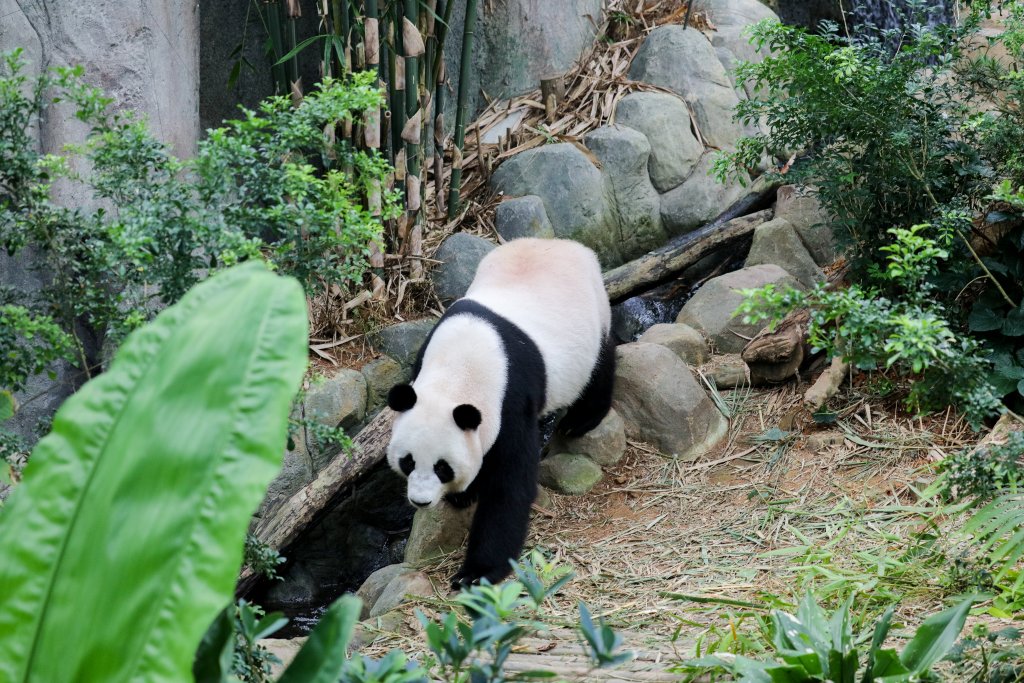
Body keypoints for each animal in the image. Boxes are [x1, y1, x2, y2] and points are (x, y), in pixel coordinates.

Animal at [386, 237, 615, 588]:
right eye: (408, 461)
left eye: (442, 468)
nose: (421, 501)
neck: (458, 370)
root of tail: (565, 244)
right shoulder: (423, 361)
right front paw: (463, 496)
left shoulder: (509, 398)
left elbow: (509, 486)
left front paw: (476, 573)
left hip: (592, 317)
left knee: (600, 364)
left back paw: (580, 420)